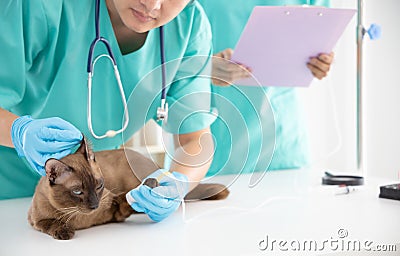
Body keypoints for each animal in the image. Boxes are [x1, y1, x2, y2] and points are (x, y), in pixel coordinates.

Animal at [28, 138, 230, 240]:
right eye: (77, 192)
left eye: (99, 186)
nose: (94, 205)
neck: (80, 220)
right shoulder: (37, 220)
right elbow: (52, 223)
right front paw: (65, 232)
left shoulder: (115, 210)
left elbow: (126, 198)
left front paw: (147, 191)